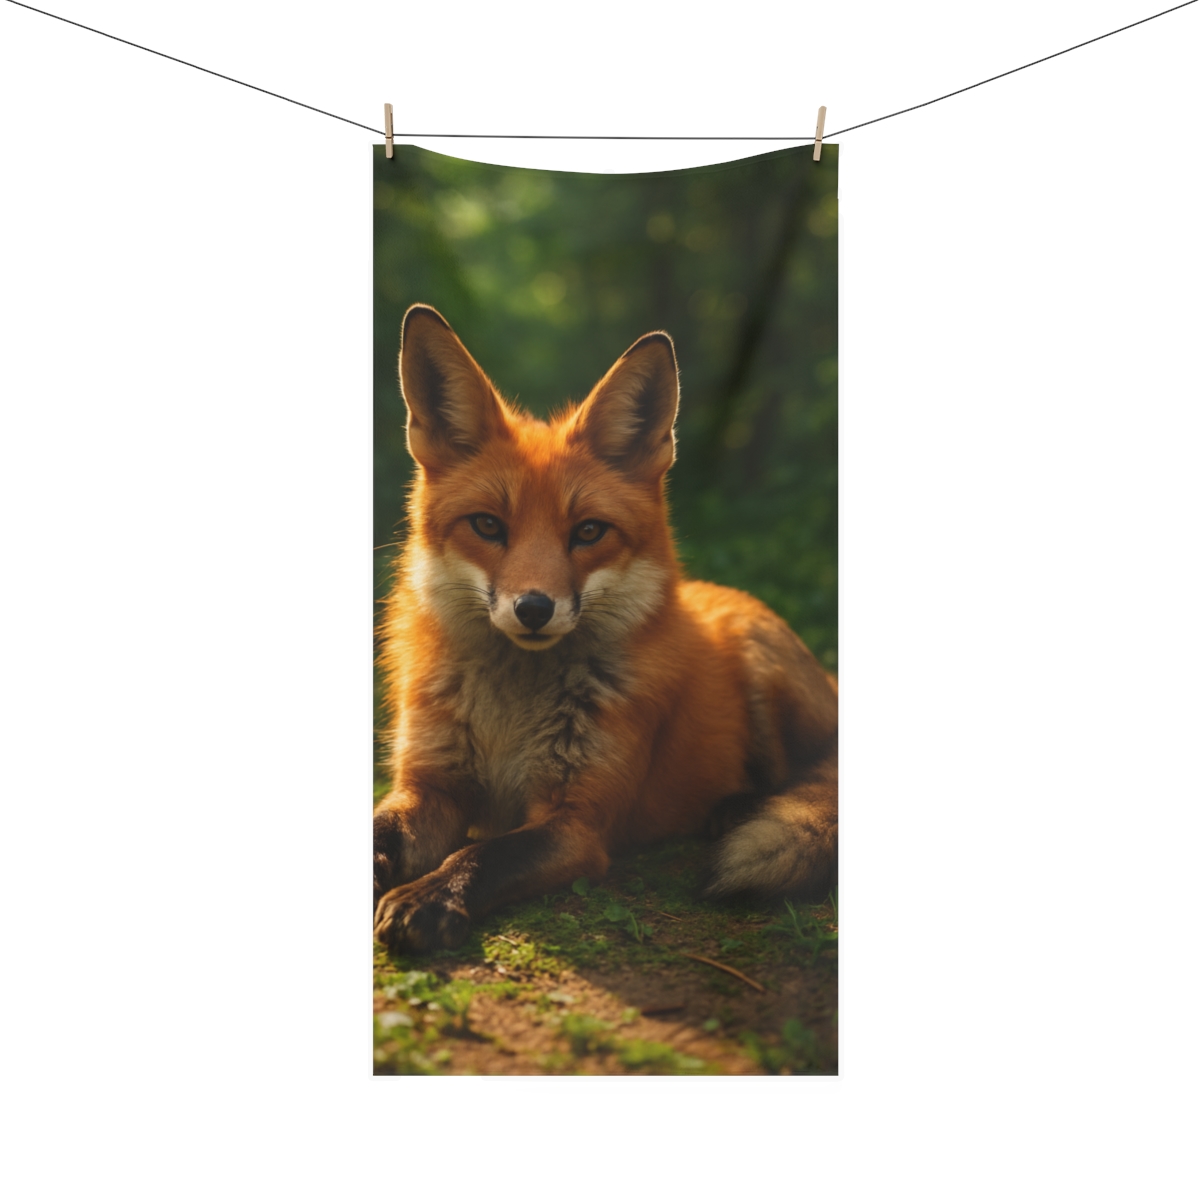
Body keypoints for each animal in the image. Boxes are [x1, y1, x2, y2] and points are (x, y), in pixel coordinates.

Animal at [373, 304, 838, 953]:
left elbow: (484, 856)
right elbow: (379, 834)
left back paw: (735, 808)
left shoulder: (577, 823)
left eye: (588, 532)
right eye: (488, 525)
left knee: (812, 773)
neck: (508, 720)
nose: (534, 608)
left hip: (763, 665)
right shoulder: (429, 789)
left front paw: (432, 897)